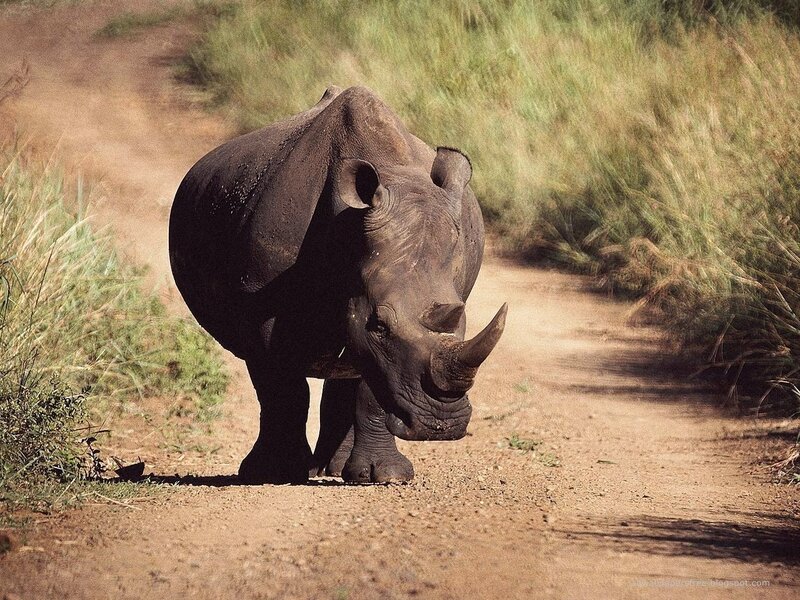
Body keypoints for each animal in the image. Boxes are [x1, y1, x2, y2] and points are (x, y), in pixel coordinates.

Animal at [169, 86, 506, 484]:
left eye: (463, 320)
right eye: (379, 325)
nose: (441, 426)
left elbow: (371, 387)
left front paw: (386, 477)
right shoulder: (259, 310)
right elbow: (283, 388)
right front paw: (274, 472)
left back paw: (336, 469)